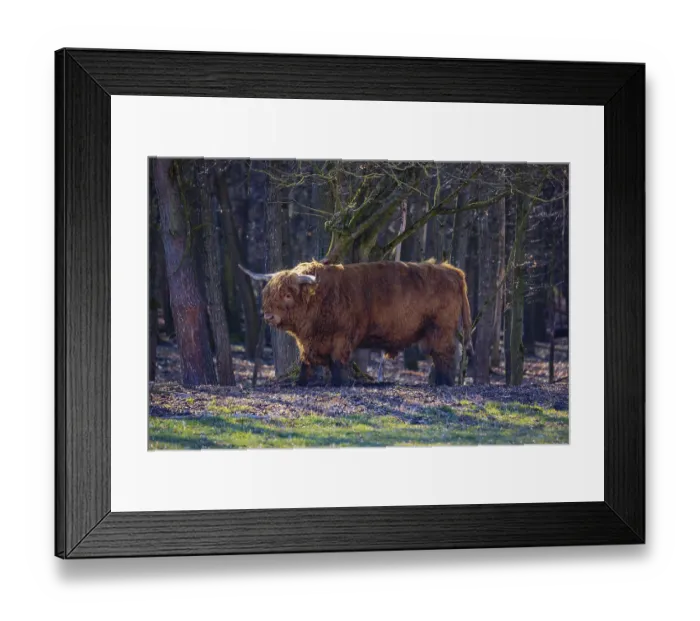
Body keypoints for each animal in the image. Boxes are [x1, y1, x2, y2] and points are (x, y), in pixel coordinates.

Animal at [239, 259, 474, 387]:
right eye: (267, 293)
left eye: (287, 295)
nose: (268, 316)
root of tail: (453, 272)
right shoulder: (309, 342)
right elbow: (305, 363)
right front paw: (301, 383)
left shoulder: (342, 337)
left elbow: (337, 363)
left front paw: (339, 383)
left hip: (441, 330)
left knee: (446, 355)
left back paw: (444, 383)